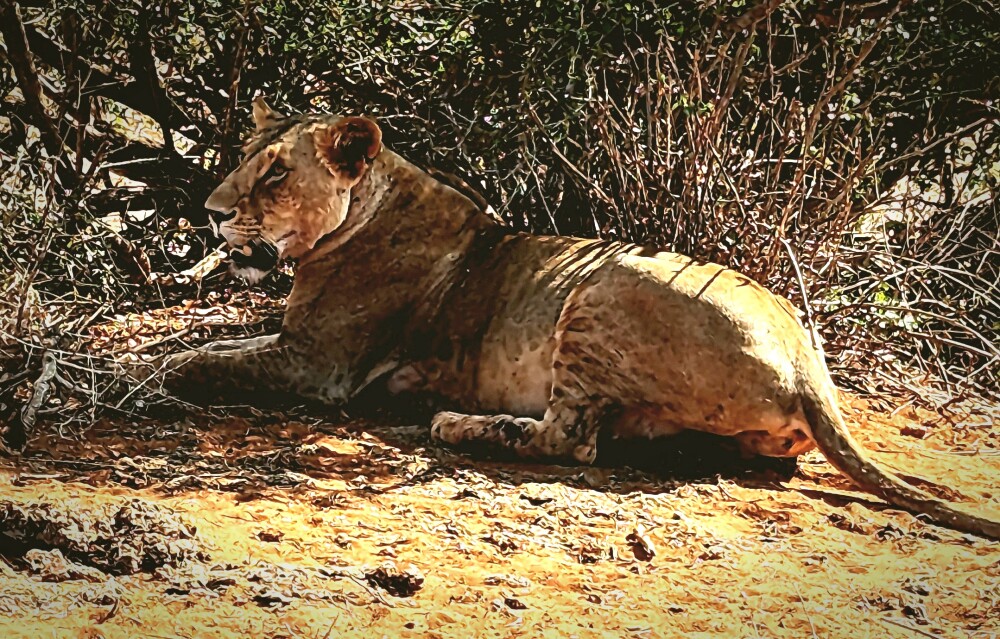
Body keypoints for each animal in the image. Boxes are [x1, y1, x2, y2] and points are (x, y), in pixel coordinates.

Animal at [155, 98, 998, 539]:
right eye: (244, 159)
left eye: (276, 173)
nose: (211, 211)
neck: (366, 206)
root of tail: (806, 357)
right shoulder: (299, 345)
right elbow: (215, 339)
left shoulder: (316, 362)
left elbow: (206, 356)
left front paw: (161, 369)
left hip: (599, 290)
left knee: (571, 438)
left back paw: (456, 421)